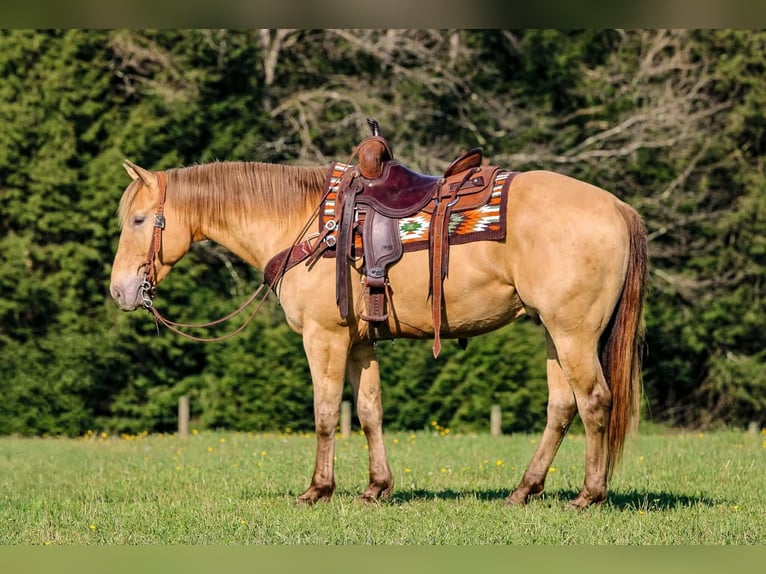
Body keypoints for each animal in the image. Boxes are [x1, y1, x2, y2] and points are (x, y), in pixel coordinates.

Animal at [109, 158, 647, 509]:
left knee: (595, 402)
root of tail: (617, 207)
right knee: (562, 408)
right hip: (552, 335)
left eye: (139, 220)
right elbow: (369, 412)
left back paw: (588, 496)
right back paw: (523, 491)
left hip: (573, 334)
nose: (119, 290)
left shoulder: (323, 338)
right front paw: (375, 487)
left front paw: (317, 490)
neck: (303, 222)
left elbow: (326, 413)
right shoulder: (360, 343)